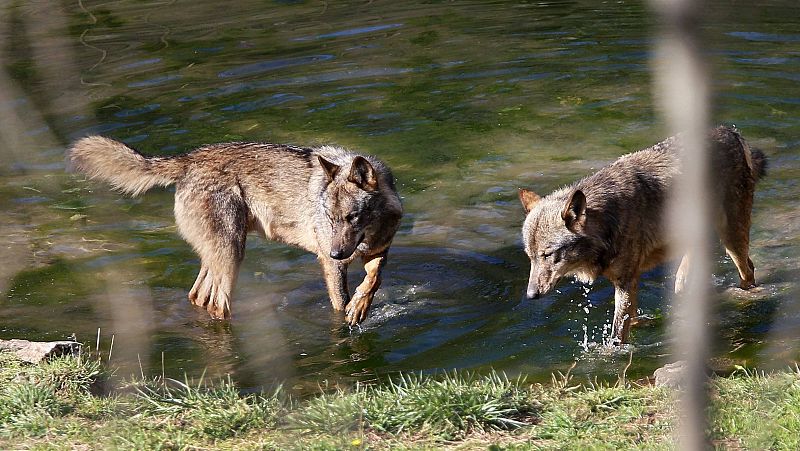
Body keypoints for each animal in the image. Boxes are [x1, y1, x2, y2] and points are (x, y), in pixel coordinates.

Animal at [66, 138, 404, 324]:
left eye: (352, 217)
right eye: (329, 218)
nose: (336, 252)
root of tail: (188, 159)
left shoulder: (378, 251)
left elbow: (373, 279)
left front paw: (360, 306)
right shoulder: (330, 263)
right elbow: (339, 303)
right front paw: (348, 317)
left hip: (220, 256)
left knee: (198, 296)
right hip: (231, 255)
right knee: (217, 303)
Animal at [520, 127, 768, 346]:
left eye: (547, 254)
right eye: (530, 257)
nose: (530, 295)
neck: (607, 219)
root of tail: (731, 132)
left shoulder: (625, 281)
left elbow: (618, 332)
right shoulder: (631, 279)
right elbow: (632, 317)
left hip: (731, 239)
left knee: (748, 269)